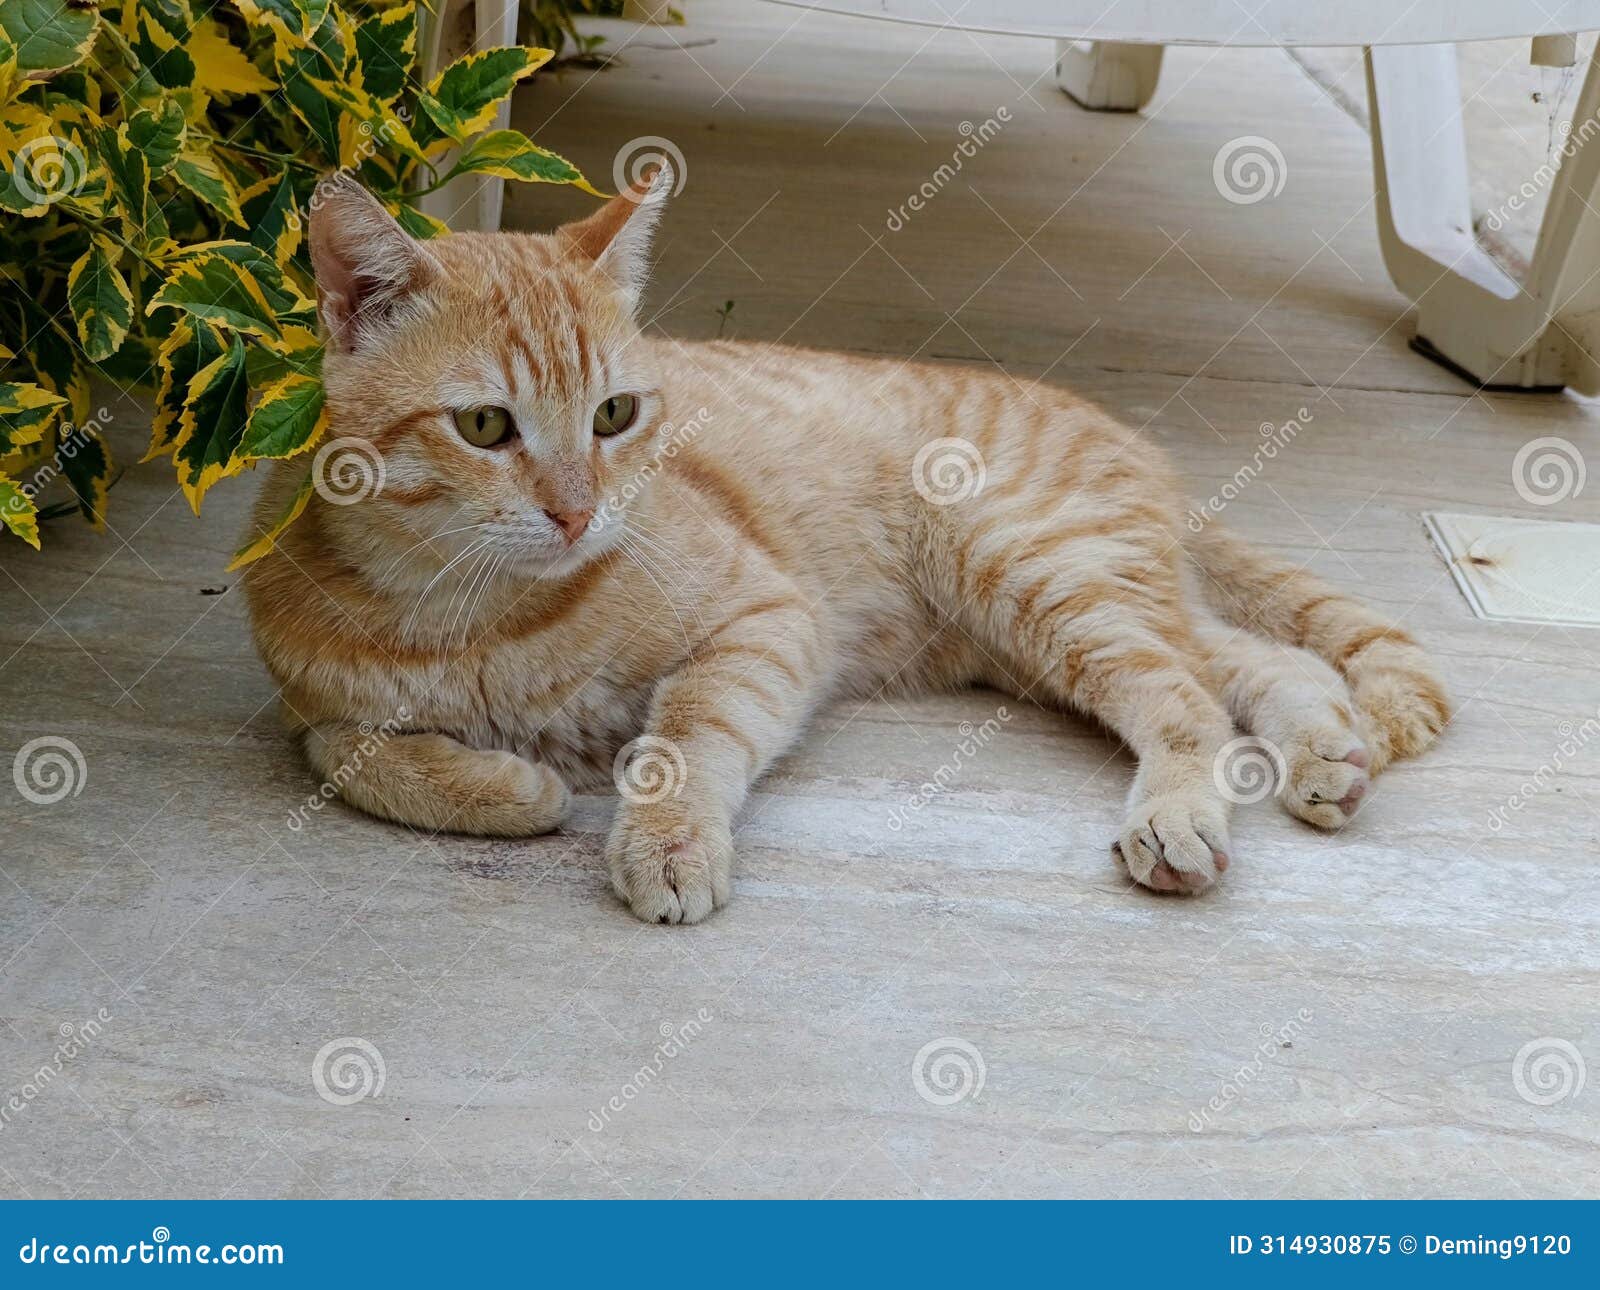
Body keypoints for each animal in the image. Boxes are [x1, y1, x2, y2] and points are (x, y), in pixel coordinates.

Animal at [240, 168, 1452, 921]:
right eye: (487, 427)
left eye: (615, 415)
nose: (580, 513)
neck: (473, 621)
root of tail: (1135, 441)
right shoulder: (309, 706)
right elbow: (347, 751)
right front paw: (511, 784)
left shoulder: (767, 620)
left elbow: (685, 735)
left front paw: (662, 838)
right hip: (1040, 628)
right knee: (1252, 658)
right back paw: (1326, 752)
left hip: (1036, 573)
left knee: (1188, 693)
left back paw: (1180, 811)